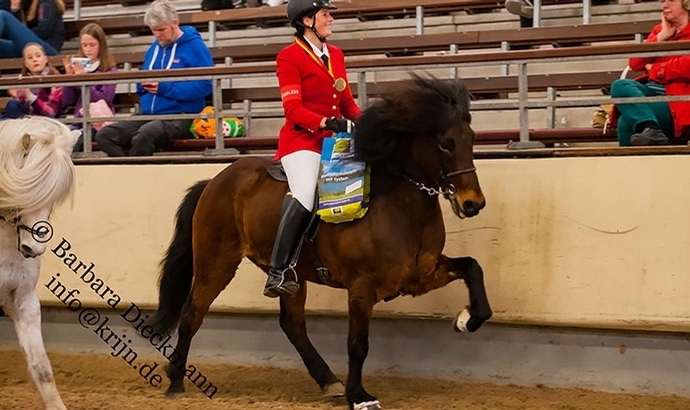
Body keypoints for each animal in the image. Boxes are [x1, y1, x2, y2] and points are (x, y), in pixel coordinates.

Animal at [153, 74, 492, 410]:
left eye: (472, 139)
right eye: (445, 143)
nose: (473, 204)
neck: (399, 204)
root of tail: (214, 181)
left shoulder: (419, 276)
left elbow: (473, 268)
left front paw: (467, 319)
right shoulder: (362, 286)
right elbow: (357, 344)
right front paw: (360, 396)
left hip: (291, 276)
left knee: (292, 324)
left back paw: (329, 381)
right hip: (216, 263)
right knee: (192, 314)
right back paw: (176, 382)